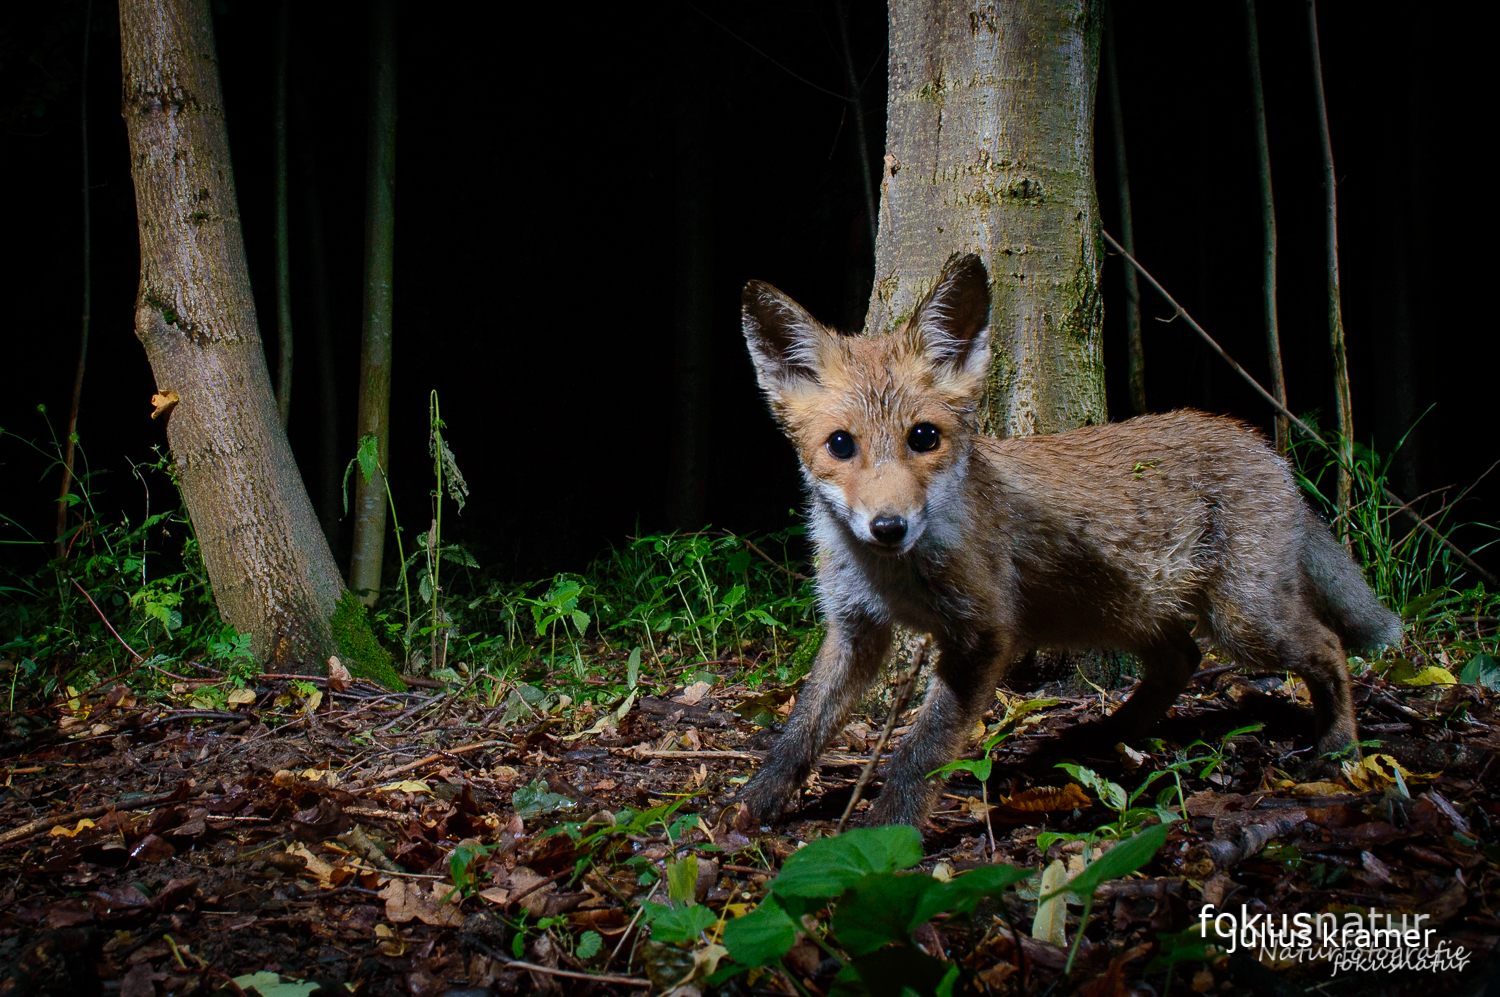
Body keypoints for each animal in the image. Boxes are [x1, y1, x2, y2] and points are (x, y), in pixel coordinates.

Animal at [732, 254, 1398, 821]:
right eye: (840, 445)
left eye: (924, 437)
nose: (889, 527)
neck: (892, 578)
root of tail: (1261, 445)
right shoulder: (856, 630)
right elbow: (802, 729)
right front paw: (754, 803)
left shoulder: (982, 634)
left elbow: (921, 751)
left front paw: (889, 831)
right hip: (1124, 610)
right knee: (1181, 658)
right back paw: (1101, 734)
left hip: (1243, 621)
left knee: (1327, 645)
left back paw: (1339, 748)